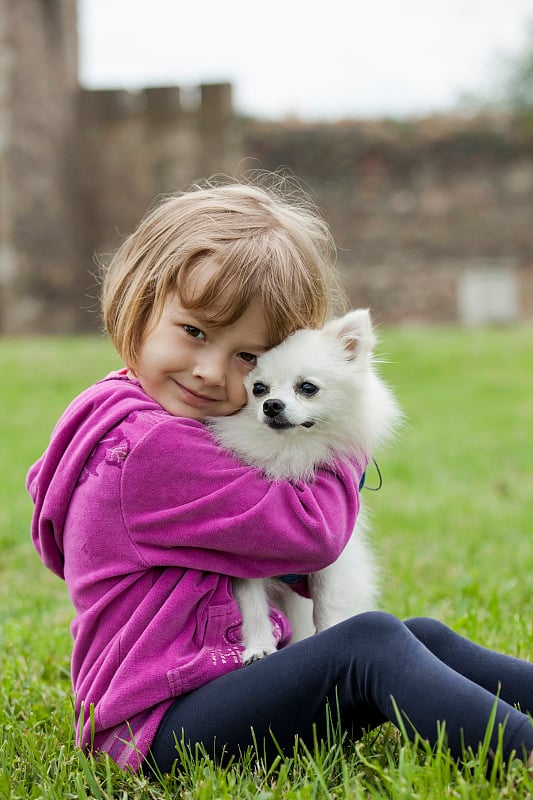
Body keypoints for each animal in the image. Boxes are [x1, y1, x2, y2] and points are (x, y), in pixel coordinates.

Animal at [207, 306, 400, 664]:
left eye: (307, 388)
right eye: (259, 388)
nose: (272, 405)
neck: (290, 450)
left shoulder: (332, 563)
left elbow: (327, 608)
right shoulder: (243, 556)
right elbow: (253, 607)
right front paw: (259, 647)